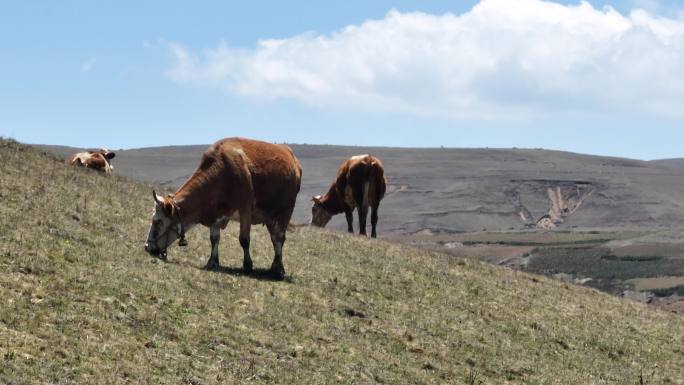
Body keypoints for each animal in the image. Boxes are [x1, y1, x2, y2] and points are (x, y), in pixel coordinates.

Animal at [143, 137, 300, 280]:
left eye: (157, 221)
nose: (147, 246)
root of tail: (290, 155)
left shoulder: (245, 209)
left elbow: (244, 239)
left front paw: (247, 265)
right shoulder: (216, 214)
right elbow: (214, 238)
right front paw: (212, 262)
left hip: (286, 211)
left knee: (280, 238)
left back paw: (279, 269)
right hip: (271, 217)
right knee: (275, 239)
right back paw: (275, 265)